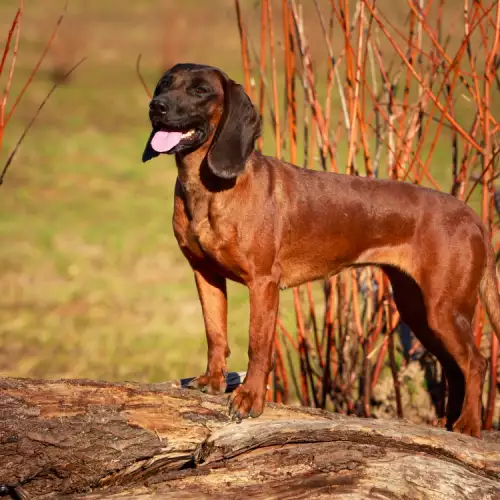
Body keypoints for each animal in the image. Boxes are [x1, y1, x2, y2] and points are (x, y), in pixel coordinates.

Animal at [142, 63, 500, 438]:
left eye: (200, 90)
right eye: (165, 84)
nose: (156, 106)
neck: (208, 188)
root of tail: (473, 216)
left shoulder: (263, 283)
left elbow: (258, 345)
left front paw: (249, 399)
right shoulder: (205, 274)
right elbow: (215, 332)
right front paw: (212, 381)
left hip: (445, 309)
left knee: (476, 362)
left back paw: (468, 425)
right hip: (418, 309)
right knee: (453, 365)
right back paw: (449, 422)